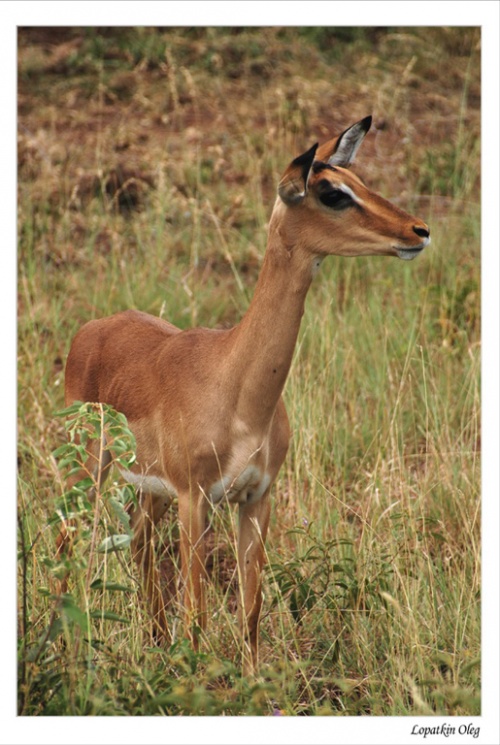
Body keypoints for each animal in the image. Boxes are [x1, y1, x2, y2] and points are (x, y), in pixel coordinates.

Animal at [57, 115, 430, 674]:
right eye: (331, 192)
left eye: (358, 179)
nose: (418, 231)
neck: (238, 393)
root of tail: (90, 330)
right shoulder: (195, 499)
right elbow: (198, 614)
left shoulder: (256, 498)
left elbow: (251, 613)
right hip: (90, 472)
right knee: (66, 541)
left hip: (150, 491)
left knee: (140, 545)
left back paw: (153, 644)